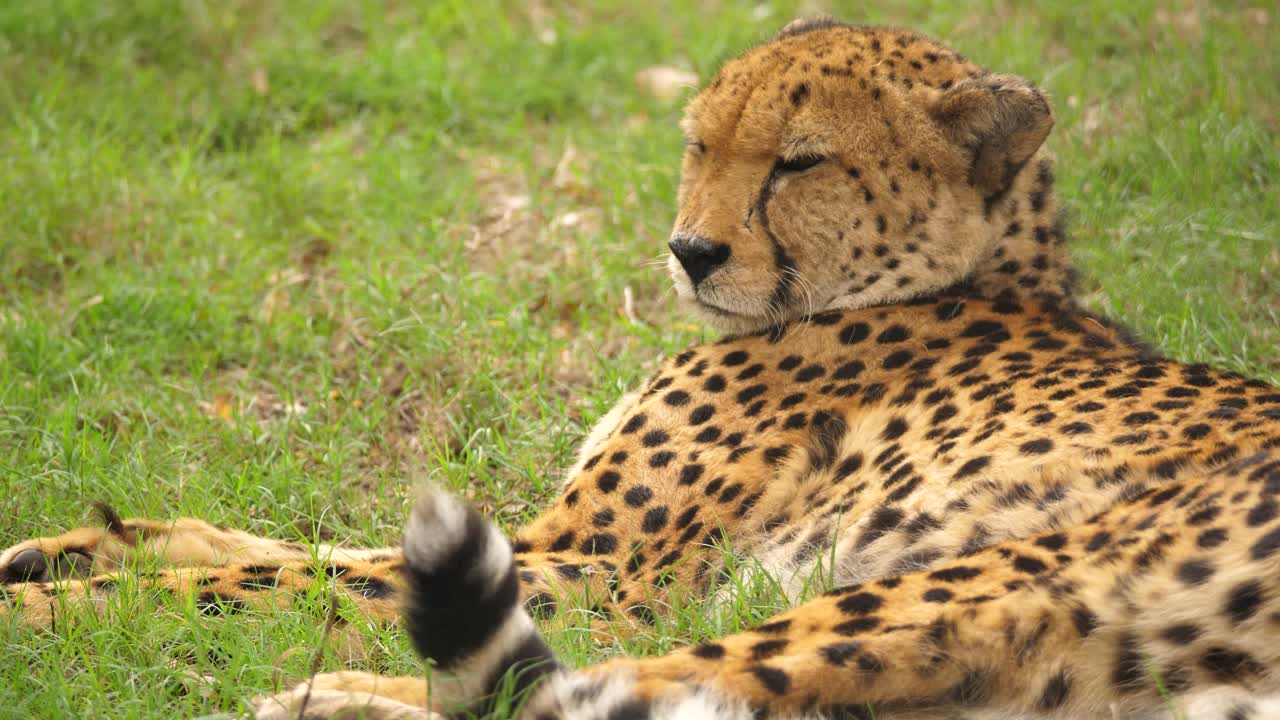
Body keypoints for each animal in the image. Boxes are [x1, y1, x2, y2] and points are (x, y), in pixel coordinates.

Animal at [4, 18, 1280, 720]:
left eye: (800, 163)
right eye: (698, 145)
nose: (690, 250)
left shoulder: (613, 570)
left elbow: (282, 578)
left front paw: (59, 609)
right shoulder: (542, 541)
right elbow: (278, 547)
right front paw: (67, 548)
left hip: (996, 582)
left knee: (603, 688)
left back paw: (318, 701)